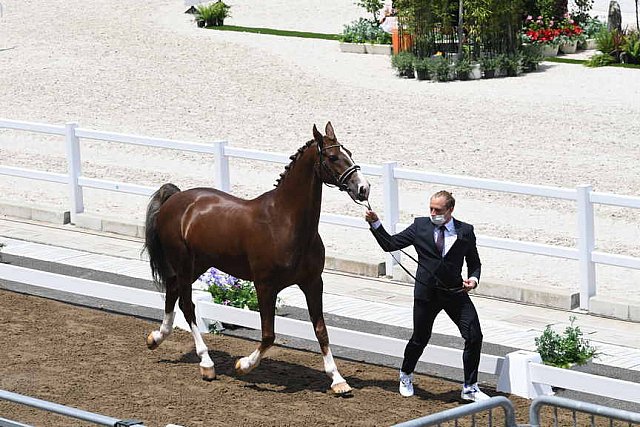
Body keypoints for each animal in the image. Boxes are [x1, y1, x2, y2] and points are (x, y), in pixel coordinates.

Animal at [142, 122, 368, 396]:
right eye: (333, 157)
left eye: (350, 153)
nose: (363, 188)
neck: (285, 221)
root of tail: (176, 198)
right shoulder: (265, 286)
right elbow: (268, 334)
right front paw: (243, 366)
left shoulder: (313, 283)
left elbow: (321, 330)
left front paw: (338, 380)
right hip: (185, 264)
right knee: (187, 305)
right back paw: (206, 364)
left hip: (199, 264)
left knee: (172, 290)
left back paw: (156, 338)